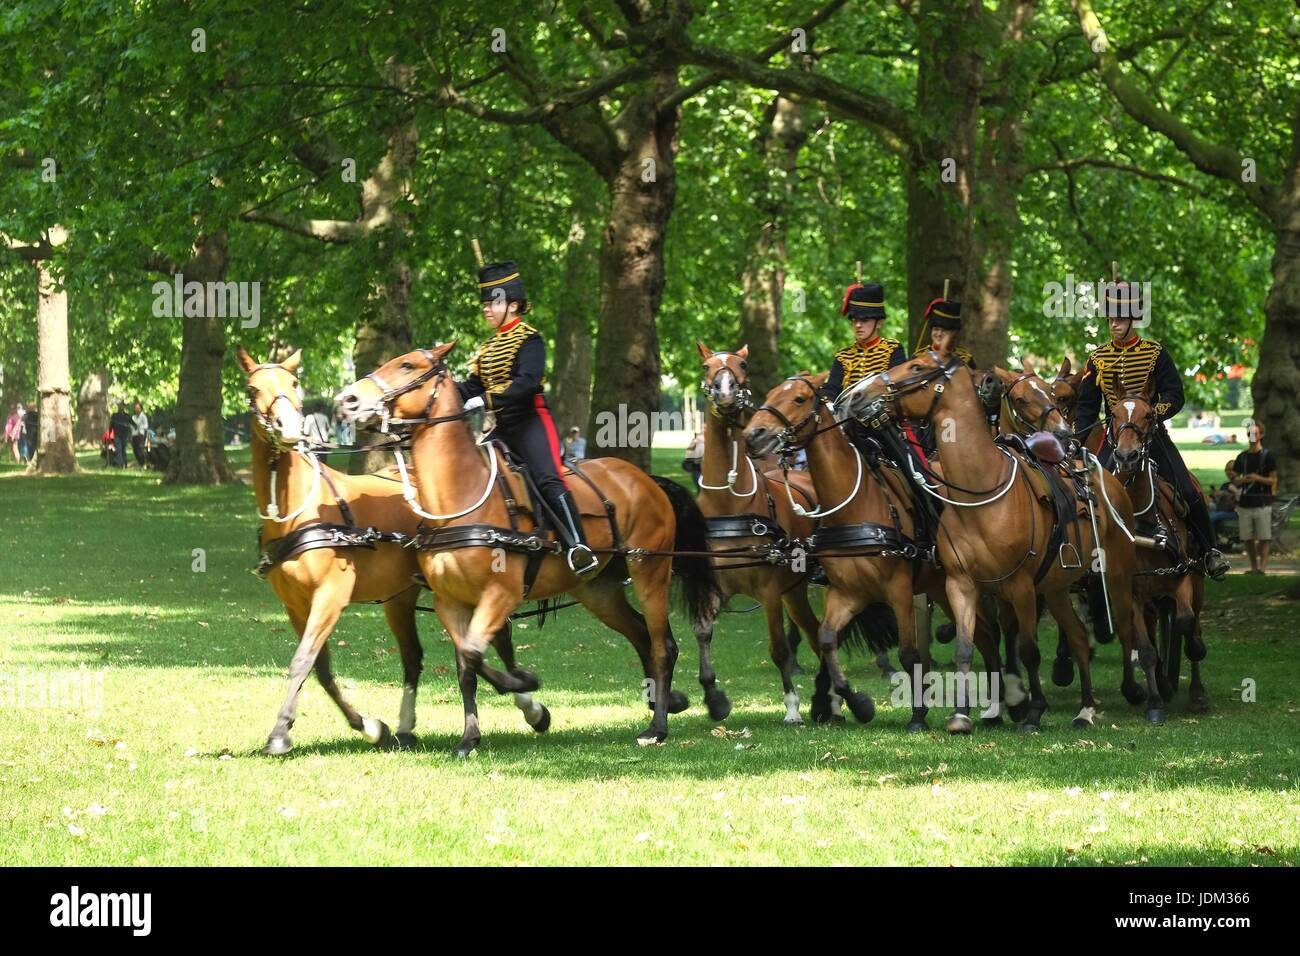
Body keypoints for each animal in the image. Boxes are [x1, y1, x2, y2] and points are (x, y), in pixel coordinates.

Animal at [335, 343, 722, 754]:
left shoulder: (501, 594)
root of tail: (646, 480)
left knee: (663, 645)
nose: (348, 400)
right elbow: (466, 664)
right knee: (640, 635)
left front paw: (526, 690)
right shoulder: (450, 602)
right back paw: (669, 702)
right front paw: (472, 735)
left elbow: (474, 653)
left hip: (649, 571)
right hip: (598, 589)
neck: (458, 496)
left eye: (407, 365)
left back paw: (658, 725)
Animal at [842, 351, 1170, 733]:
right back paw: (1085, 709)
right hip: (1056, 587)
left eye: (917, 368)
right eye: (1021, 398)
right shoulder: (961, 585)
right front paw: (962, 715)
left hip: (1117, 575)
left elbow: (1027, 649)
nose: (859, 395)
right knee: (1076, 636)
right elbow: (967, 646)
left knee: (1132, 630)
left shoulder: (1021, 587)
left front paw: (1032, 710)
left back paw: (1151, 701)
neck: (980, 494)